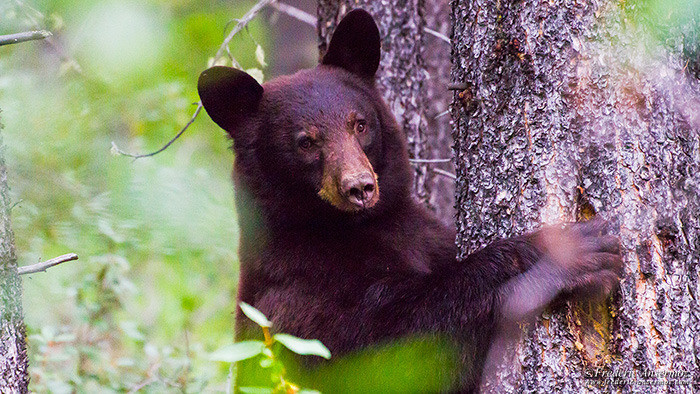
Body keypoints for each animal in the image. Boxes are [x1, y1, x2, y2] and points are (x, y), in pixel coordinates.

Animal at [197, 9, 624, 394]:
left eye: (359, 124)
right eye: (306, 142)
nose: (359, 188)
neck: (353, 229)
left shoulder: (422, 234)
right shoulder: (297, 303)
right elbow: (397, 355)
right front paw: (564, 254)